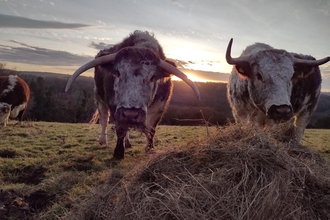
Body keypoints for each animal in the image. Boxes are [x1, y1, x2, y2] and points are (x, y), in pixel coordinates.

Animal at [64, 30, 199, 158]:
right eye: (118, 72)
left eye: (153, 77)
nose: (131, 113)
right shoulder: (115, 106)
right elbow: (120, 129)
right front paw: (118, 153)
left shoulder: (159, 107)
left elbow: (151, 129)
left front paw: (150, 149)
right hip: (99, 97)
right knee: (104, 119)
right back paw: (103, 141)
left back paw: (127, 143)